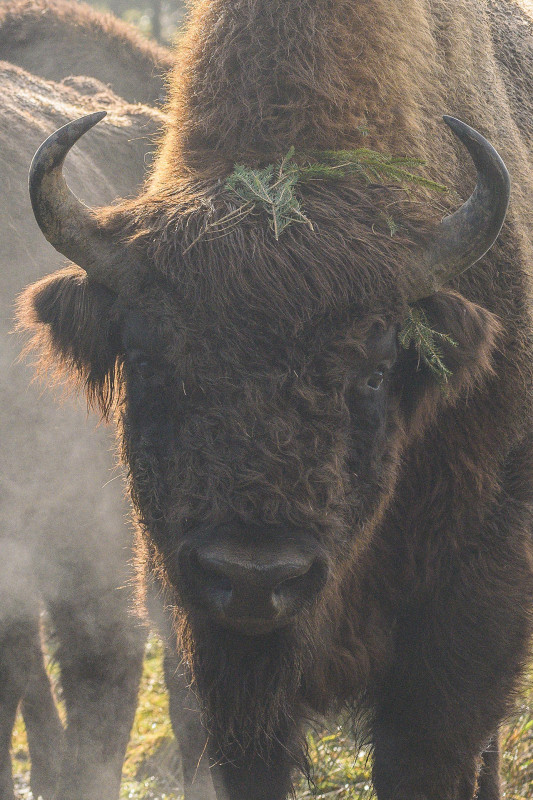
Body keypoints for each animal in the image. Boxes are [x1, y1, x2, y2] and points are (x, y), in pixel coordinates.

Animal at [16, 1, 532, 800]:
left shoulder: (473, 594)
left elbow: (428, 749)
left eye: (374, 369)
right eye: (149, 362)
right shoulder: (203, 624)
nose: (255, 576)